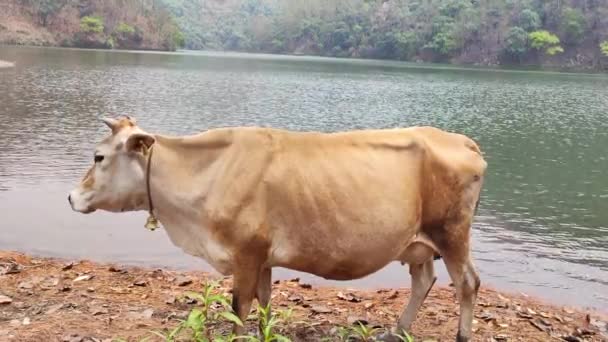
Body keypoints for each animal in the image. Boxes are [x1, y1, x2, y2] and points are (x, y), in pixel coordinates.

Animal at [69, 116, 486, 340]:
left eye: (99, 156)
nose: (72, 197)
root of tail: (460, 139)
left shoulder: (245, 252)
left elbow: (239, 306)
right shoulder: (263, 256)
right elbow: (266, 302)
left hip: (451, 233)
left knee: (467, 282)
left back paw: (462, 335)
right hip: (418, 240)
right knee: (424, 280)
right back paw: (396, 331)